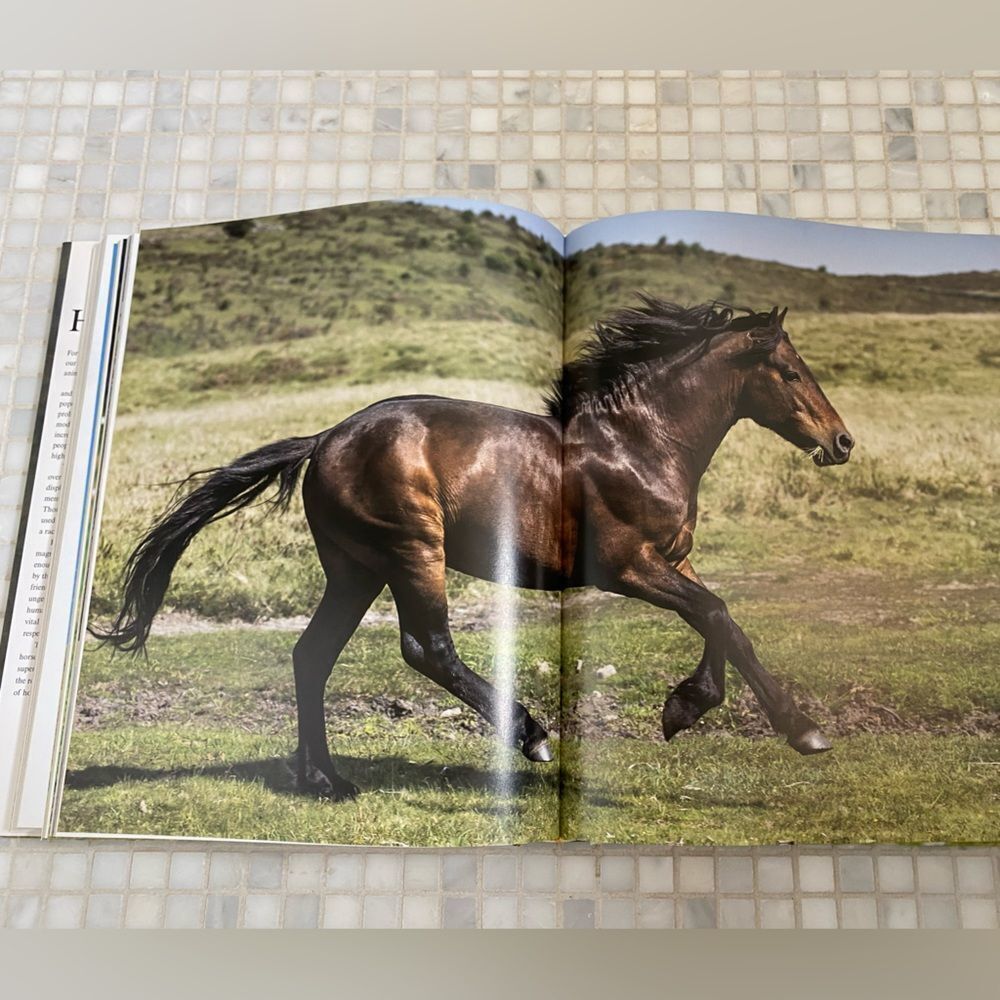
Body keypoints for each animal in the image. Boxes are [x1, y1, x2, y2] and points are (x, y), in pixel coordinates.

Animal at [95, 298, 854, 801]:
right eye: (789, 370)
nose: (842, 441)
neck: (638, 444)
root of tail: (324, 440)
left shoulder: (673, 559)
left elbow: (722, 624)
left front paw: (698, 710)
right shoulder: (631, 567)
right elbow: (718, 614)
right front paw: (789, 729)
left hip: (355, 571)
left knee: (312, 655)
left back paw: (326, 780)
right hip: (410, 553)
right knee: (426, 648)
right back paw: (530, 733)